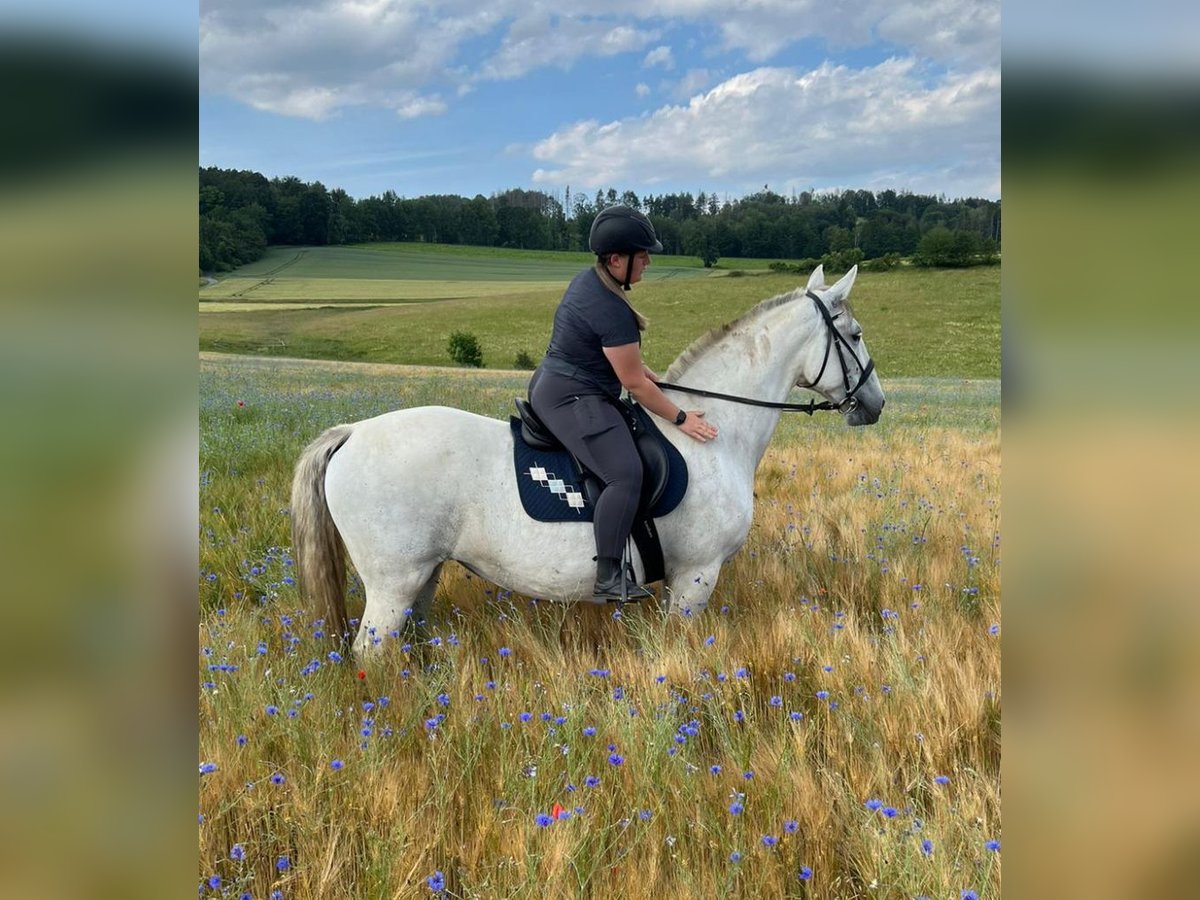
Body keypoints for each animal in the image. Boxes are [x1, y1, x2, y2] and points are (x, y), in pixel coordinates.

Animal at [295, 266, 888, 657]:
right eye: (856, 335)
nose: (875, 404)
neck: (713, 436)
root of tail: (353, 433)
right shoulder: (696, 578)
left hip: (424, 576)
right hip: (393, 584)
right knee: (370, 657)